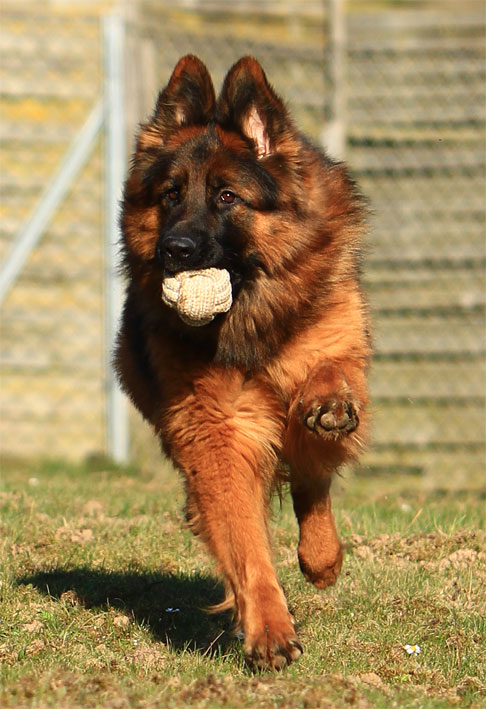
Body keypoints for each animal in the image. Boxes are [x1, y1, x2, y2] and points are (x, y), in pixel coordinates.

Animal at [115, 55, 371, 669]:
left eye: (228, 197)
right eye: (170, 195)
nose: (174, 251)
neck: (251, 319)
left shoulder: (335, 342)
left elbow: (328, 377)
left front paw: (329, 400)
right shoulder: (217, 430)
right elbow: (244, 539)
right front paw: (268, 630)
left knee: (311, 471)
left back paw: (322, 555)